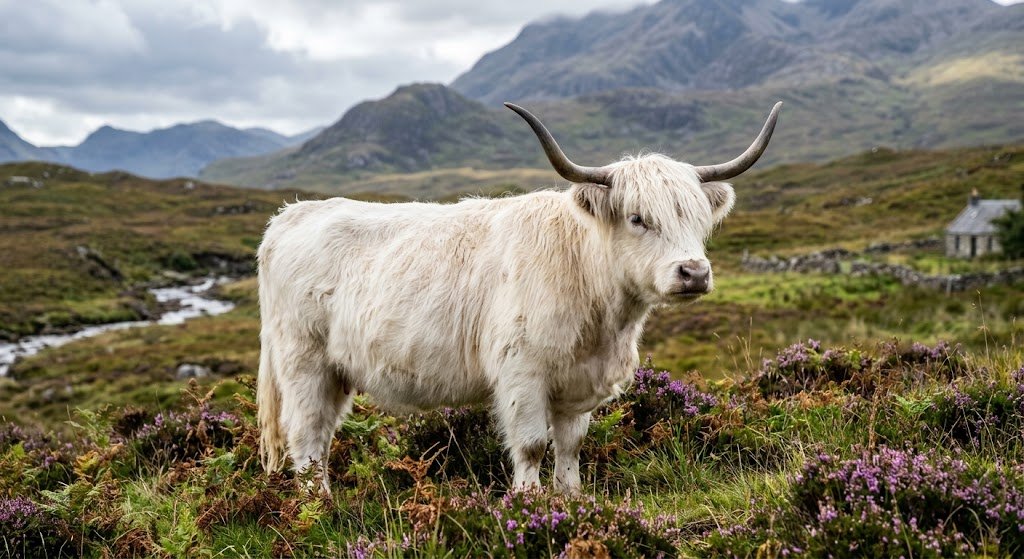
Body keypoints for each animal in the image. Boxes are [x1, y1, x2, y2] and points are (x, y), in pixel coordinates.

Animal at [256, 101, 782, 494]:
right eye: (637, 218)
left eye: (698, 217)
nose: (693, 272)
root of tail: (290, 216)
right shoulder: (521, 371)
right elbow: (531, 444)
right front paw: (528, 503)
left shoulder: (577, 384)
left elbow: (570, 446)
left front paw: (571, 500)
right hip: (303, 361)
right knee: (305, 436)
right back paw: (319, 509)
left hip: (337, 371)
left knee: (322, 436)